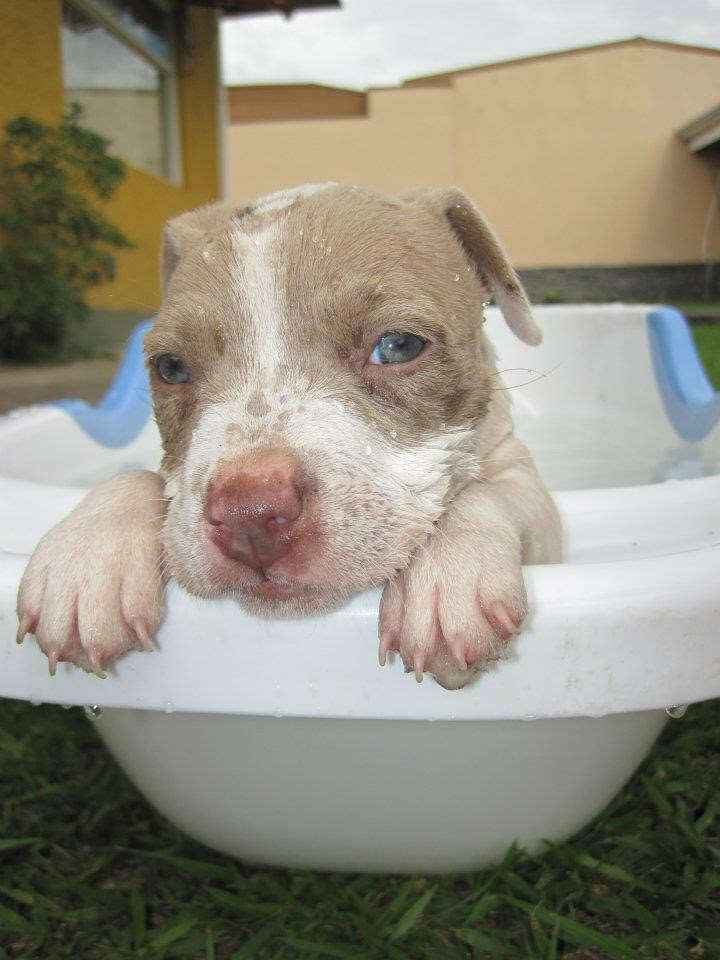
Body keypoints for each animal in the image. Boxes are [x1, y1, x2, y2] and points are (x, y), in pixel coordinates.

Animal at [14, 182, 560, 688]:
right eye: (170, 367)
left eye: (399, 346)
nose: (249, 517)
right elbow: (140, 479)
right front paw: (85, 557)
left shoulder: (535, 501)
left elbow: (487, 491)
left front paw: (446, 572)